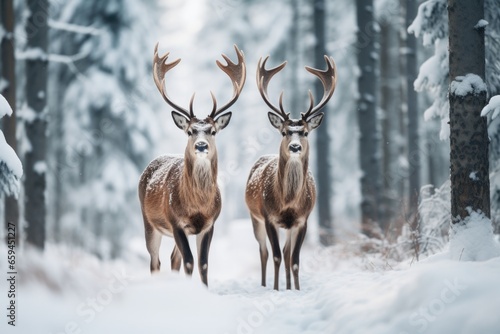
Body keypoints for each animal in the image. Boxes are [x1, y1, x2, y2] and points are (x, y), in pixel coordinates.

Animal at [139, 43, 246, 286]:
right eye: (190, 131)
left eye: (213, 131)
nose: (201, 145)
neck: (197, 206)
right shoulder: (175, 221)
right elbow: (189, 261)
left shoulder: (209, 224)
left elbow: (202, 263)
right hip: (148, 221)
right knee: (155, 262)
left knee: (173, 259)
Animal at [245, 54, 336, 290]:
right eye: (285, 132)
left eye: (304, 132)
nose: (295, 147)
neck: (287, 202)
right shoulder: (269, 217)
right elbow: (276, 256)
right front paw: (277, 289)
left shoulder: (302, 220)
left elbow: (294, 260)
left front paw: (295, 289)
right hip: (254, 217)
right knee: (264, 252)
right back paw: (264, 284)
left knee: (286, 253)